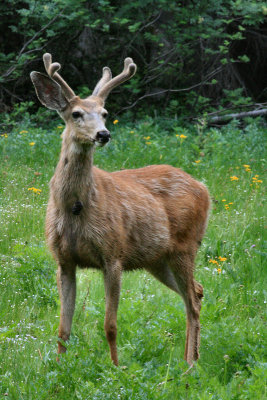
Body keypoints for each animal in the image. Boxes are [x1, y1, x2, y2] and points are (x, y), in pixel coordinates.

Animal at [30, 54, 211, 368]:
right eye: (76, 113)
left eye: (104, 112)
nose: (103, 133)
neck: (75, 208)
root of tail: (204, 188)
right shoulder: (64, 260)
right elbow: (63, 327)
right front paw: (59, 368)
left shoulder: (113, 254)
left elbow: (110, 324)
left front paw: (116, 368)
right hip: (157, 259)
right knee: (197, 292)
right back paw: (191, 359)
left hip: (185, 246)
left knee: (192, 300)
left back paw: (190, 365)